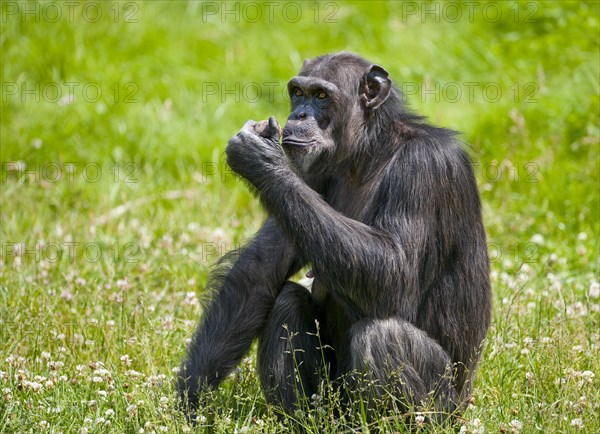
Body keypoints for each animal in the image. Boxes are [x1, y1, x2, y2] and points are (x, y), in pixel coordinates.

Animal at [178, 50, 492, 420]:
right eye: (298, 93)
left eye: (321, 96)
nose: (299, 114)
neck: (369, 153)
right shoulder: (308, 178)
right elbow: (258, 270)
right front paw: (187, 403)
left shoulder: (426, 168)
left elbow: (396, 272)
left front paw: (261, 159)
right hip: (335, 401)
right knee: (286, 301)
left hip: (443, 409)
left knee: (382, 336)